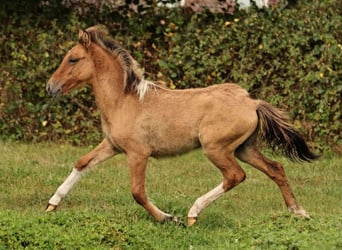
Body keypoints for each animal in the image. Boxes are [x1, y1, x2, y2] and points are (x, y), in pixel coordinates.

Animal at [45, 25, 318, 227]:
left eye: (73, 59)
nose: (50, 87)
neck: (123, 100)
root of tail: (252, 102)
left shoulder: (138, 153)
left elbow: (137, 192)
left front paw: (168, 218)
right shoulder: (112, 145)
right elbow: (82, 163)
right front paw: (51, 204)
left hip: (216, 148)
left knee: (235, 175)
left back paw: (192, 213)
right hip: (244, 148)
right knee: (276, 169)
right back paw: (299, 212)